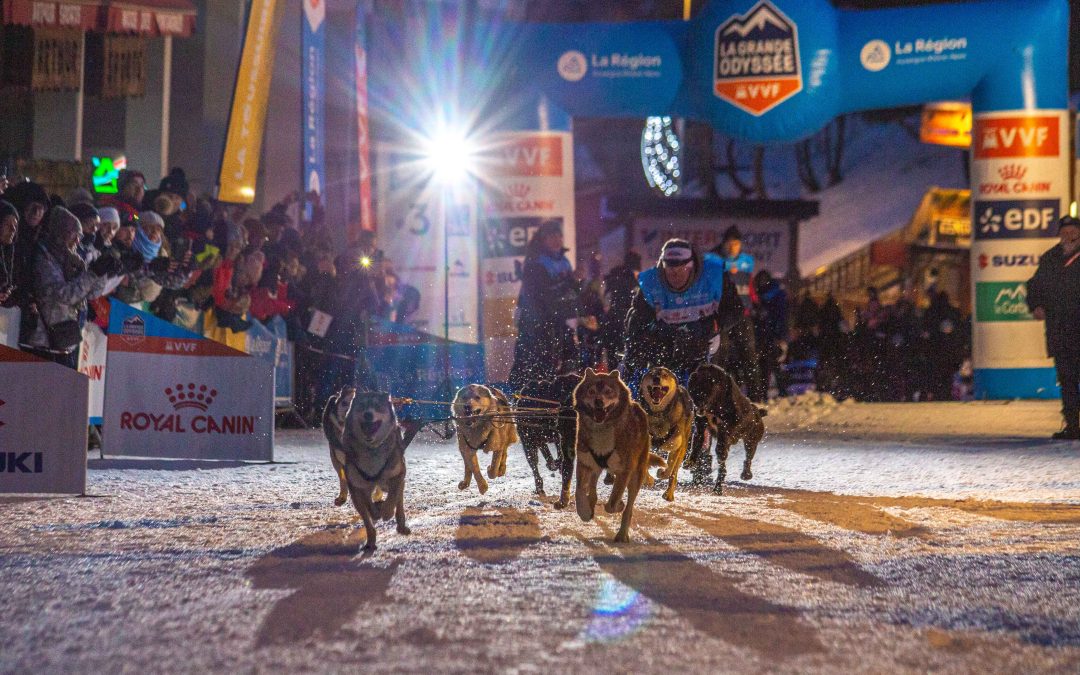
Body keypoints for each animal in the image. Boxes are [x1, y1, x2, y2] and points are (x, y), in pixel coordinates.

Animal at [341, 386, 412, 550]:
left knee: (399, 500)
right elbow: (368, 515)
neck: (372, 449)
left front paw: (386, 512)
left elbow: (393, 498)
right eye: (362, 406)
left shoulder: (397, 475)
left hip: (394, 478)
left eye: (378, 406)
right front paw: (375, 515)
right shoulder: (357, 487)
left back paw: (400, 524)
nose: (368, 414)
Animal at [574, 369, 665, 542]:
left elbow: (613, 502)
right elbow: (579, 492)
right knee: (593, 488)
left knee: (629, 508)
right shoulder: (585, 463)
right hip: (597, 467)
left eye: (608, 391)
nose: (598, 401)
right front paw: (584, 512)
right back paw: (591, 503)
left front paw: (619, 505)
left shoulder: (624, 470)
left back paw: (622, 533)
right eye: (591, 391)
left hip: (636, 475)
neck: (602, 429)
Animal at [635, 362, 695, 501]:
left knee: (674, 473)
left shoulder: (676, 446)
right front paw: (648, 479)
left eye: (664, 375)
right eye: (652, 374)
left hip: (683, 447)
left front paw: (660, 473)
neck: (659, 414)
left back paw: (669, 494)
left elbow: (669, 470)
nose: (656, 378)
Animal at [686, 362, 764, 494]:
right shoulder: (701, 428)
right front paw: (691, 461)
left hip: (751, 441)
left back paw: (745, 474)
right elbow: (696, 444)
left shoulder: (725, 429)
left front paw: (718, 485)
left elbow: (720, 451)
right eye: (694, 391)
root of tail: (757, 412)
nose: (698, 408)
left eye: (704, 392)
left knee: (748, 458)